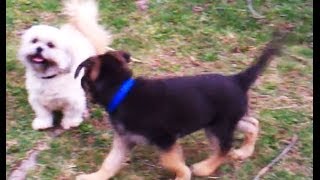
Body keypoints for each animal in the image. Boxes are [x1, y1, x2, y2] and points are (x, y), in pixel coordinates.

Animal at [18, 0, 112, 130]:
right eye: (34, 41)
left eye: (51, 45)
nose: (39, 48)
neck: (50, 77)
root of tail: (81, 33)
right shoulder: (37, 99)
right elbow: (43, 113)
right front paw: (43, 123)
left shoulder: (74, 100)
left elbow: (72, 113)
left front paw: (70, 122)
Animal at [74, 30, 288, 179]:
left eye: (83, 80)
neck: (122, 91)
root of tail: (237, 79)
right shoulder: (124, 140)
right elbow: (110, 163)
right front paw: (93, 177)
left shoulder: (166, 140)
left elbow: (171, 163)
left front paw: (184, 175)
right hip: (225, 120)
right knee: (252, 124)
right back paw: (244, 152)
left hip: (219, 127)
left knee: (224, 147)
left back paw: (204, 168)